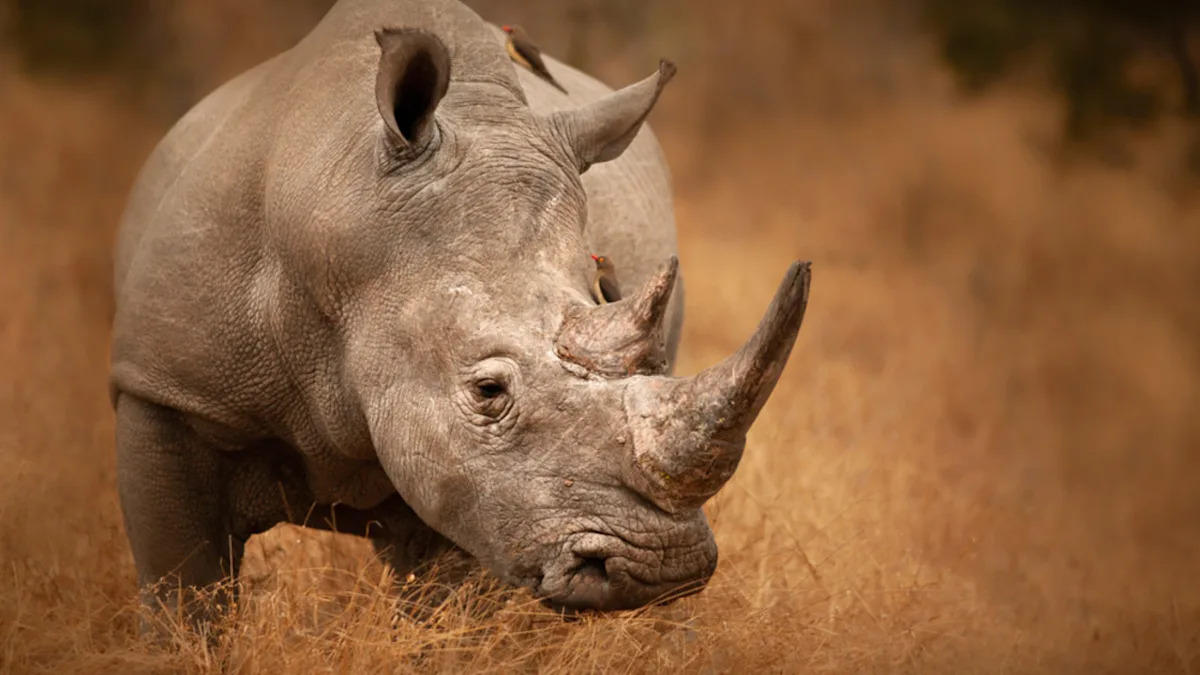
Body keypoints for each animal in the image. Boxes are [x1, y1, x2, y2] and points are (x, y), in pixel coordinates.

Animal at [109, 0, 811, 619]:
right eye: (487, 391)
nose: (665, 566)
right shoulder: (167, 391)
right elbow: (184, 593)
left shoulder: (480, 488)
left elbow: (448, 604)